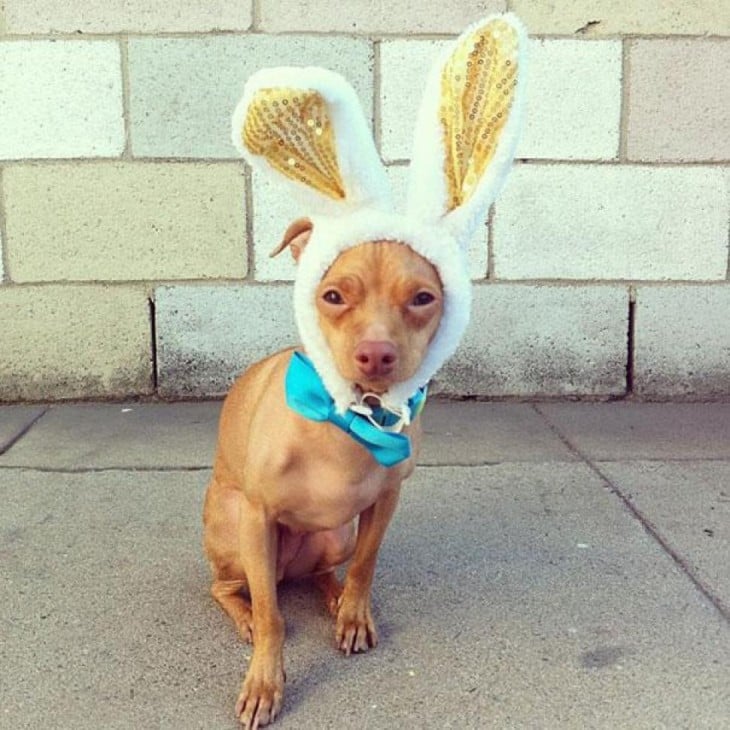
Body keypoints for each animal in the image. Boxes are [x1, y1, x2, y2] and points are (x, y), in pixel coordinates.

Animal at [205, 218, 444, 728]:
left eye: (422, 298)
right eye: (332, 296)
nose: (376, 354)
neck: (354, 417)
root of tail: (286, 572)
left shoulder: (386, 500)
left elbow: (365, 565)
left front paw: (353, 614)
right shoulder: (257, 517)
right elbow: (273, 618)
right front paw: (264, 684)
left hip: (335, 535)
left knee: (321, 572)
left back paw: (332, 595)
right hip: (235, 533)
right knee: (231, 587)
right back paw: (245, 614)